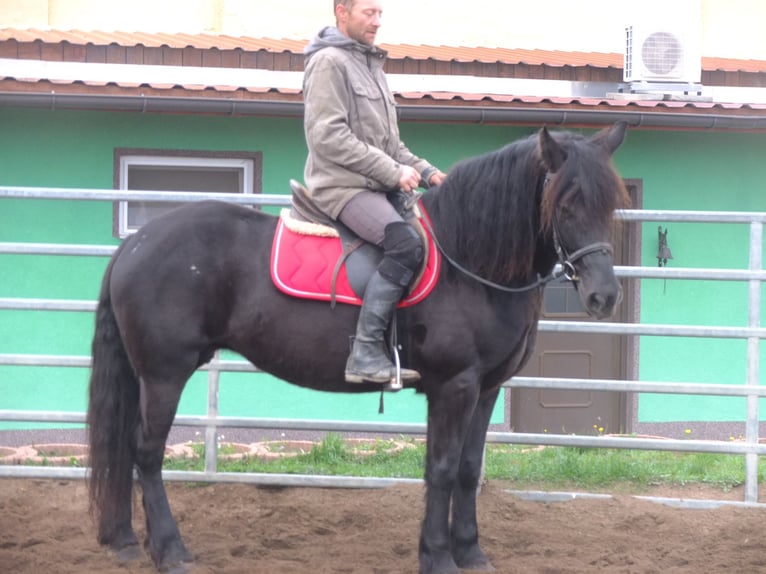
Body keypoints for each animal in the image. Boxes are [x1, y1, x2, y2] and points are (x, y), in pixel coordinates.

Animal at [88, 124, 632, 572]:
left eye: (610, 205)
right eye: (566, 204)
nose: (604, 297)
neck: (468, 262)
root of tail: (137, 242)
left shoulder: (487, 388)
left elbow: (468, 469)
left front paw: (471, 553)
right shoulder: (453, 386)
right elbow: (440, 468)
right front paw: (437, 558)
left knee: (129, 449)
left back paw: (126, 540)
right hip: (164, 372)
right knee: (147, 453)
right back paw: (171, 552)